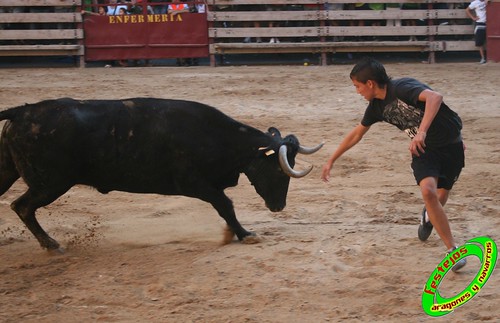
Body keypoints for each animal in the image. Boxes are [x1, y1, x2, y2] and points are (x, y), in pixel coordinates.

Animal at [0, 97, 322, 252]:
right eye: (279, 171)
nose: (278, 207)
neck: (214, 136)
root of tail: (22, 112)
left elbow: (224, 206)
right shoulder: (194, 183)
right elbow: (225, 205)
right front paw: (244, 234)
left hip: (14, 172)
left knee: (18, 204)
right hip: (51, 183)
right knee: (22, 206)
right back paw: (52, 245)